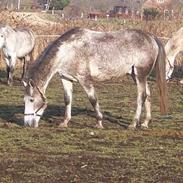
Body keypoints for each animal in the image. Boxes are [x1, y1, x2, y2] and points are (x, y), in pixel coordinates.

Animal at [22, 28, 168, 129]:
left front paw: (99, 122)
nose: (27, 124)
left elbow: (93, 99)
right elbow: (67, 100)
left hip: (140, 75)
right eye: (24, 100)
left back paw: (133, 124)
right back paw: (145, 123)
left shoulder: (84, 79)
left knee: (141, 97)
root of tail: (151, 37)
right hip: (136, 75)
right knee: (148, 95)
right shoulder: (66, 78)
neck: (68, 51)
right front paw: (65, 122)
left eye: (31, 100)